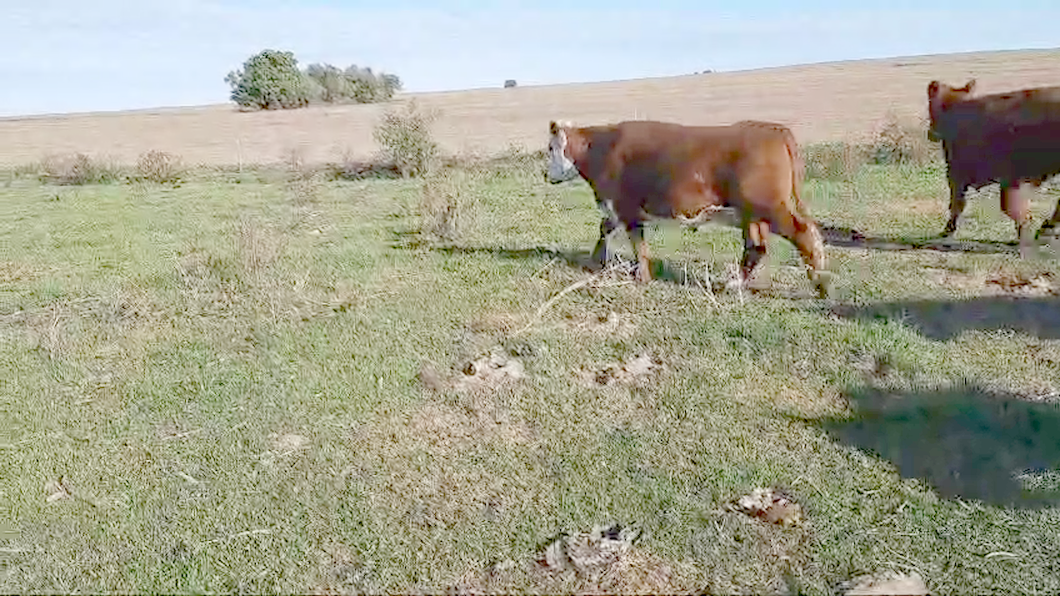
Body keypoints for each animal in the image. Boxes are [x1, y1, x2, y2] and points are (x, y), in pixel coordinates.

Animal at [546, 118, 835, 299]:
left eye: (550, 148)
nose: (545, 174)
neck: (601, 149)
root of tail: (773, 128)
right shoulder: (618, 209)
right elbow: (605, 229)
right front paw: (595, 261)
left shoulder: (625, 206)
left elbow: (638, 243)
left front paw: (642, 276)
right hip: (751, 214)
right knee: (756, 247)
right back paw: (734, 284)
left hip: (770, 206)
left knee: (804, 232)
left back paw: (821, 284)